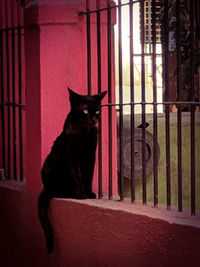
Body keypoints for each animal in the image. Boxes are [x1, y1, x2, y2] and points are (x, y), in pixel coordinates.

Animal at [37, 89, 106, 254]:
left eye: (98, 111)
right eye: (85, 111)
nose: (94, 120)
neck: (83, 133)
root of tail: (45, 188)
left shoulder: (91, 157)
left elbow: (88, 176)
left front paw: (89, 193)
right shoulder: (72, 158)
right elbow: (78, 177)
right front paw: (81, 194)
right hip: (51, 167)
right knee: (56, 192)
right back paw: (70, 193)